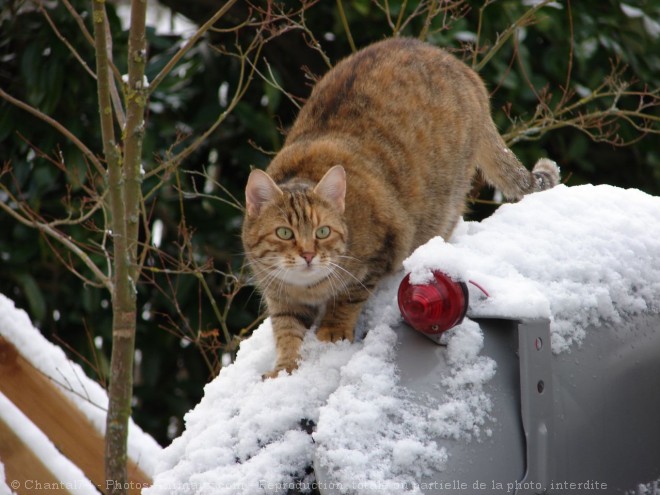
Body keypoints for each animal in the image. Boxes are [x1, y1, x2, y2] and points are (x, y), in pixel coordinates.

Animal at [241, 37, 556, 380]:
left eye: (322, 232)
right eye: (284, 233)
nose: (309, 255)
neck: (308, 288)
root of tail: (462, 68)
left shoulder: (379, 252)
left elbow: (348, 298)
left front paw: (332, 330)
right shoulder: (280, 295)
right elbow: (286, 329)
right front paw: (284, 368)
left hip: (443, 201)